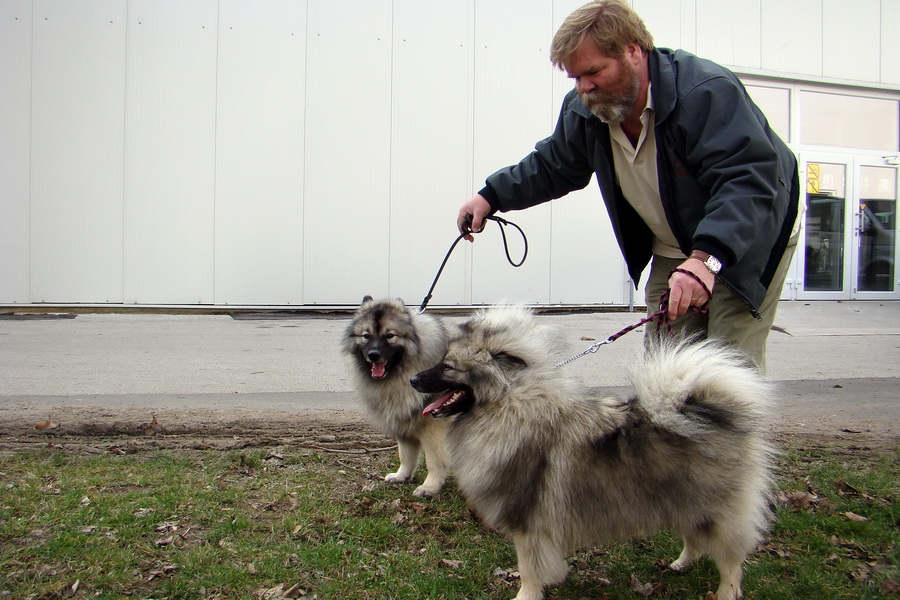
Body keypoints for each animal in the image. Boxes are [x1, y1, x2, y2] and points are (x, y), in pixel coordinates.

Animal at [340, 296, 450, 496]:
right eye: (366, 336)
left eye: (390, 336)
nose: (373, 355)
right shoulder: (403, 423)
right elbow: (405, 456)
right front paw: (402, 476)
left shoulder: (434, 429)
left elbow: (435, 462)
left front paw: (430, 487)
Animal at [412, 308, 776, 596]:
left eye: (448, 367)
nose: (414, 378)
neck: (508, 404)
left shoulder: (528, 522)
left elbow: (528, 569)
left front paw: (526, 594)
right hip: (685, 502)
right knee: (695, 540)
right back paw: (679, 564)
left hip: (714, 513)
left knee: (731, 563)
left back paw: (726, 592)